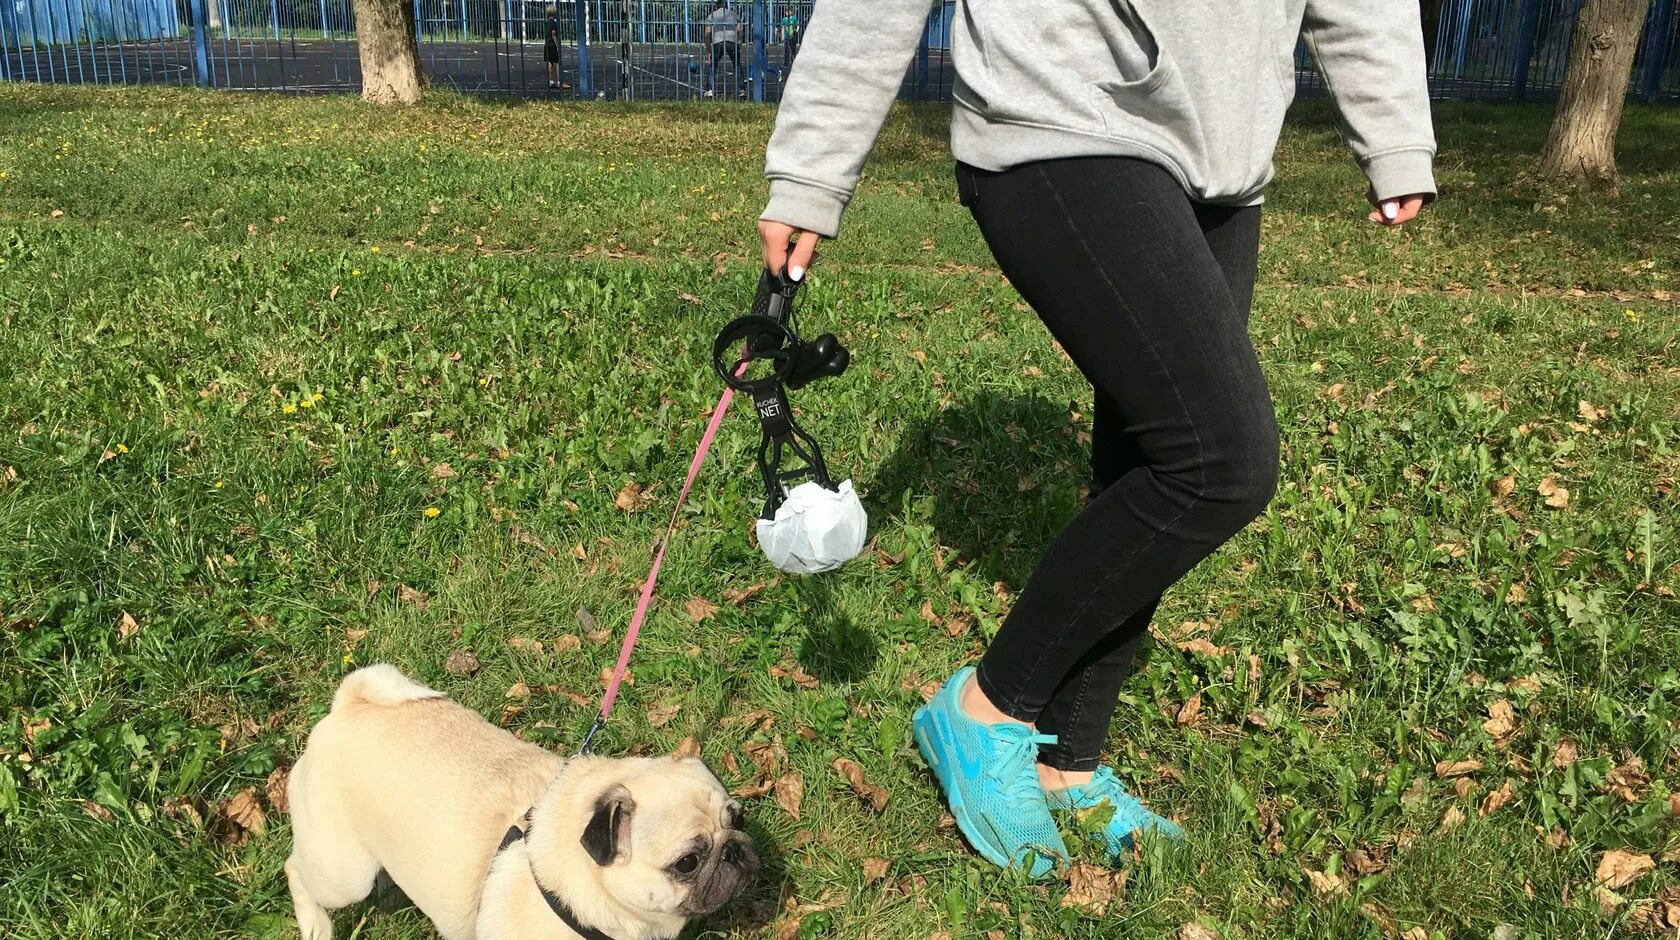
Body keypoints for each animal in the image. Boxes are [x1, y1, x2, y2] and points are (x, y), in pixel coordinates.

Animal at [285, 664, 759, 933]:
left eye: (738, 820)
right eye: (687, 863)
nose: (734, 851)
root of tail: (350, 707)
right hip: (344, 874)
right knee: (297, 870)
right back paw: (315, 925)